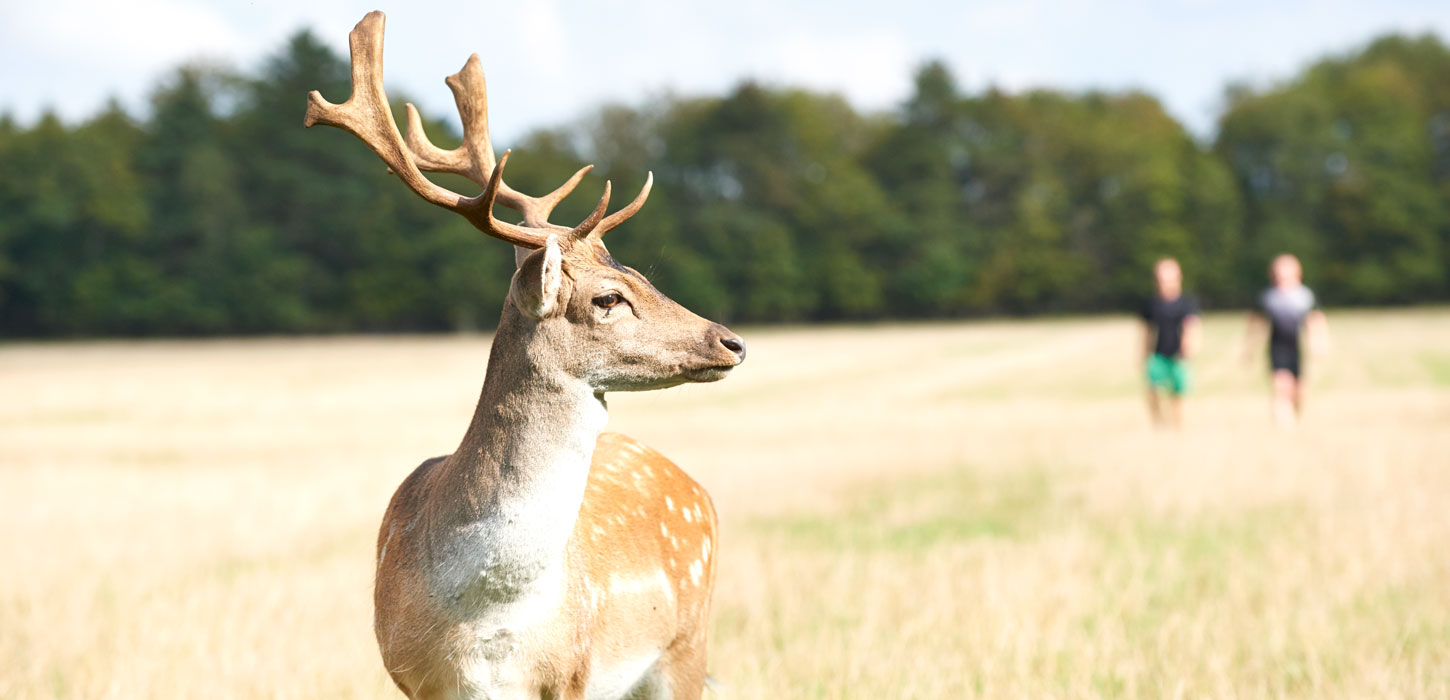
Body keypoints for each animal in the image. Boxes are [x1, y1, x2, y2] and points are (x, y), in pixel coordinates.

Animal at [304, 12, 744, 700]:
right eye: (610, 298)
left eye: (644, 275)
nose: (731, 341)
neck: (488, 626)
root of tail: (693, 485)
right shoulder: (409, 674)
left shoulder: (572, 670)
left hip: (687, 644)